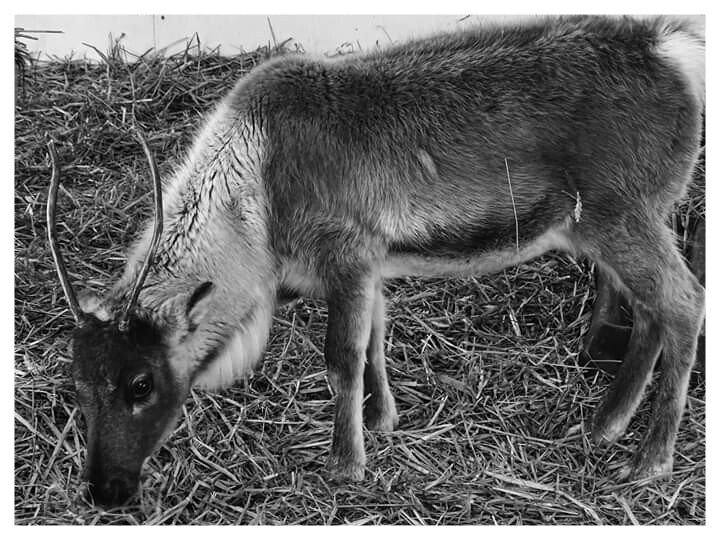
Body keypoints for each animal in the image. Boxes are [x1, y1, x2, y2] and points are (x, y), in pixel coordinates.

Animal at [47, 15, 705, 507]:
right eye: (74, 382)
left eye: (141, 382)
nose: (105, 489)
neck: (257, 206)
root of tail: (676, 50)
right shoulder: (371, 267)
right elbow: (375, 343)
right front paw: (382, 418)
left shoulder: (347, 251)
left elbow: (342, 357)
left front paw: (346, 464)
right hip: (625, 224)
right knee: (650, 313)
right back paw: (602, 426)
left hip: (619, 216)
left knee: (684, 302)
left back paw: (648, 462)